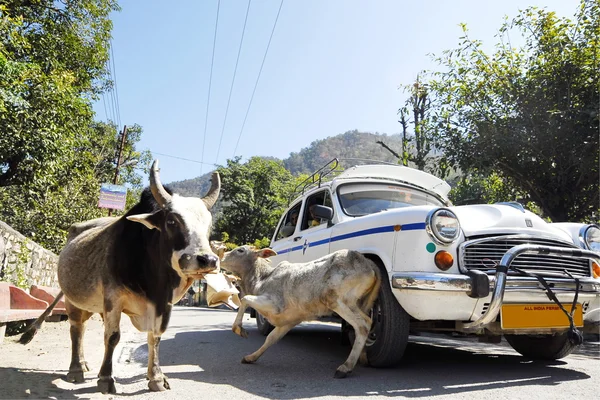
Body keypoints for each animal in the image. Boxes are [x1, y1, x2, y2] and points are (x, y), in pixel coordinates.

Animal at [21, 160, 224, 394]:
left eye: (209, 225)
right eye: (172, 221)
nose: (207, 260)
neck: (154, 282)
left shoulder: (163, 304)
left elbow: (155, 337)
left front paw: (156, 377)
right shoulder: (113, 298)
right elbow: (112, 336)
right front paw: (106, 379)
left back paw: (84, 364)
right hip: (73, 300)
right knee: (76, 329)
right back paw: (76, 370)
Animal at [219, 245, 380, 380]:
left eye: (240, 250)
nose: (221, 257)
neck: (262, 279)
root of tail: (368, 263)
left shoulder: (275, 304)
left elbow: (245, 299)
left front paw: (239, 329)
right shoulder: (289, 320)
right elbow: (271, 338)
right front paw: (251, 357)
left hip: (336, 300)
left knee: (364, 324)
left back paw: (345, 367)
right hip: (359, 303)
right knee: (360, 327)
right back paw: (363, 357)